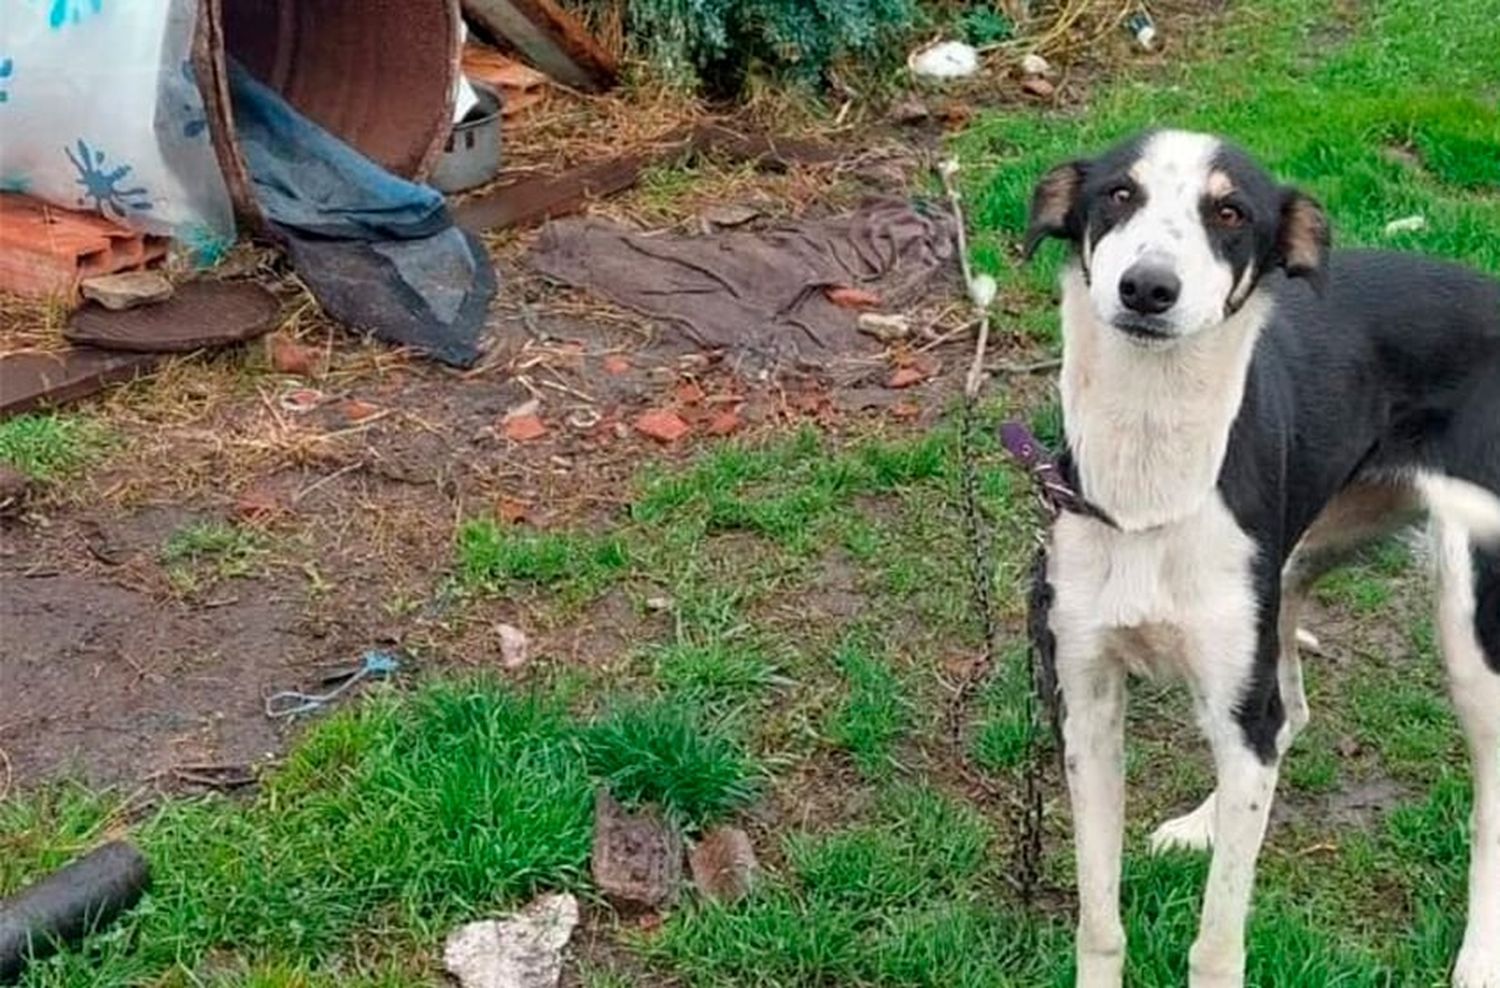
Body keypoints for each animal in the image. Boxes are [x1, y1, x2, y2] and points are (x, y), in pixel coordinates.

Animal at [1020, 127, 1500, 983]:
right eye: (1118, 194)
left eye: (1230, 212)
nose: (1147, 288)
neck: (1150, 480)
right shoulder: (1086, 706)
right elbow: (1099, 919)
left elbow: (1216, 942)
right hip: (1293, 565)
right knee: (1286, 717)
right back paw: (1206, 819)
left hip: (1470, 621)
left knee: (1486, 803)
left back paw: (1480, 956)